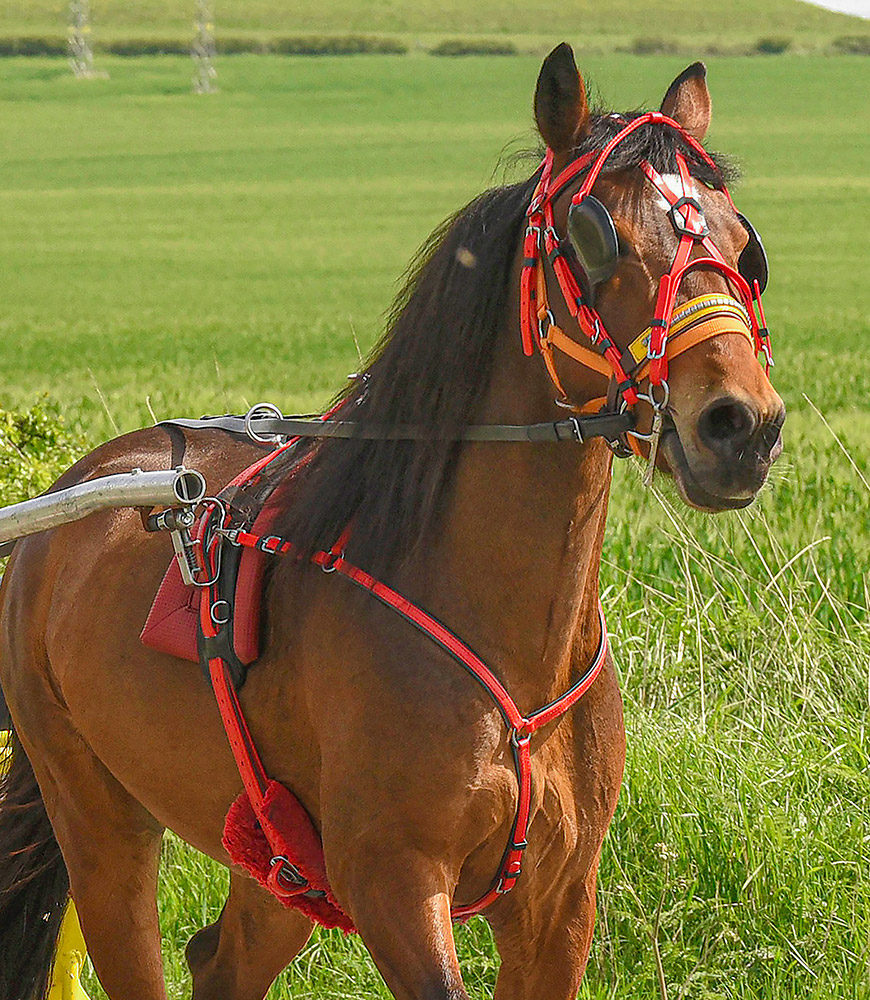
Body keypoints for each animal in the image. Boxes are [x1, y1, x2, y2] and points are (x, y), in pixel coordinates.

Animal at [0, 44, 784, 1000]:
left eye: (744, 243)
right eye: (597, 239)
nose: (740, 425)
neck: (503, 633)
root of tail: (73, 499)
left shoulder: (561, 899)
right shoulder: (393, 883)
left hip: (276, 855)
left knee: (223, 958)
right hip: (96, 813)